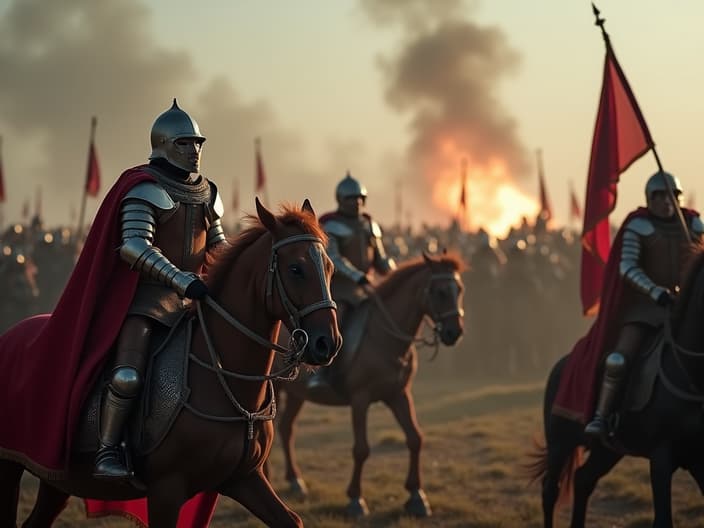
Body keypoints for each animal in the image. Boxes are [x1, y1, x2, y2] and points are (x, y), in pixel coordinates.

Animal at [0, 198, 342, 528]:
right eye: (296, 269)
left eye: (329, 267)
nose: (327, 343)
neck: (222, 379)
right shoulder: (167, 490)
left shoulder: (244, 478)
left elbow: (292, 520)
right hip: (11, 466)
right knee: (126, 378)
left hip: (59, 479)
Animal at [268, 252, 462, 516]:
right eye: (441, 292)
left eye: (459, 290)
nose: (455, 332)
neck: (384, 337)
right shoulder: (360, 399)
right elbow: (361, 449)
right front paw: (355, 499)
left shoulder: (398, 394)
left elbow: (415, 438)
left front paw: (416, 497)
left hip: (296, 392)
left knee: (286, 428)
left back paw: (295, 481)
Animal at [532, 249, 704, 528]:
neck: (689, 371)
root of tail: (560, 365)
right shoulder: (661, 456)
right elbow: (663, 519)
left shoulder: (698, 456)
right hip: (559, 441)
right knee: (550, 490)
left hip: (607, 450)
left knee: (583, 479)